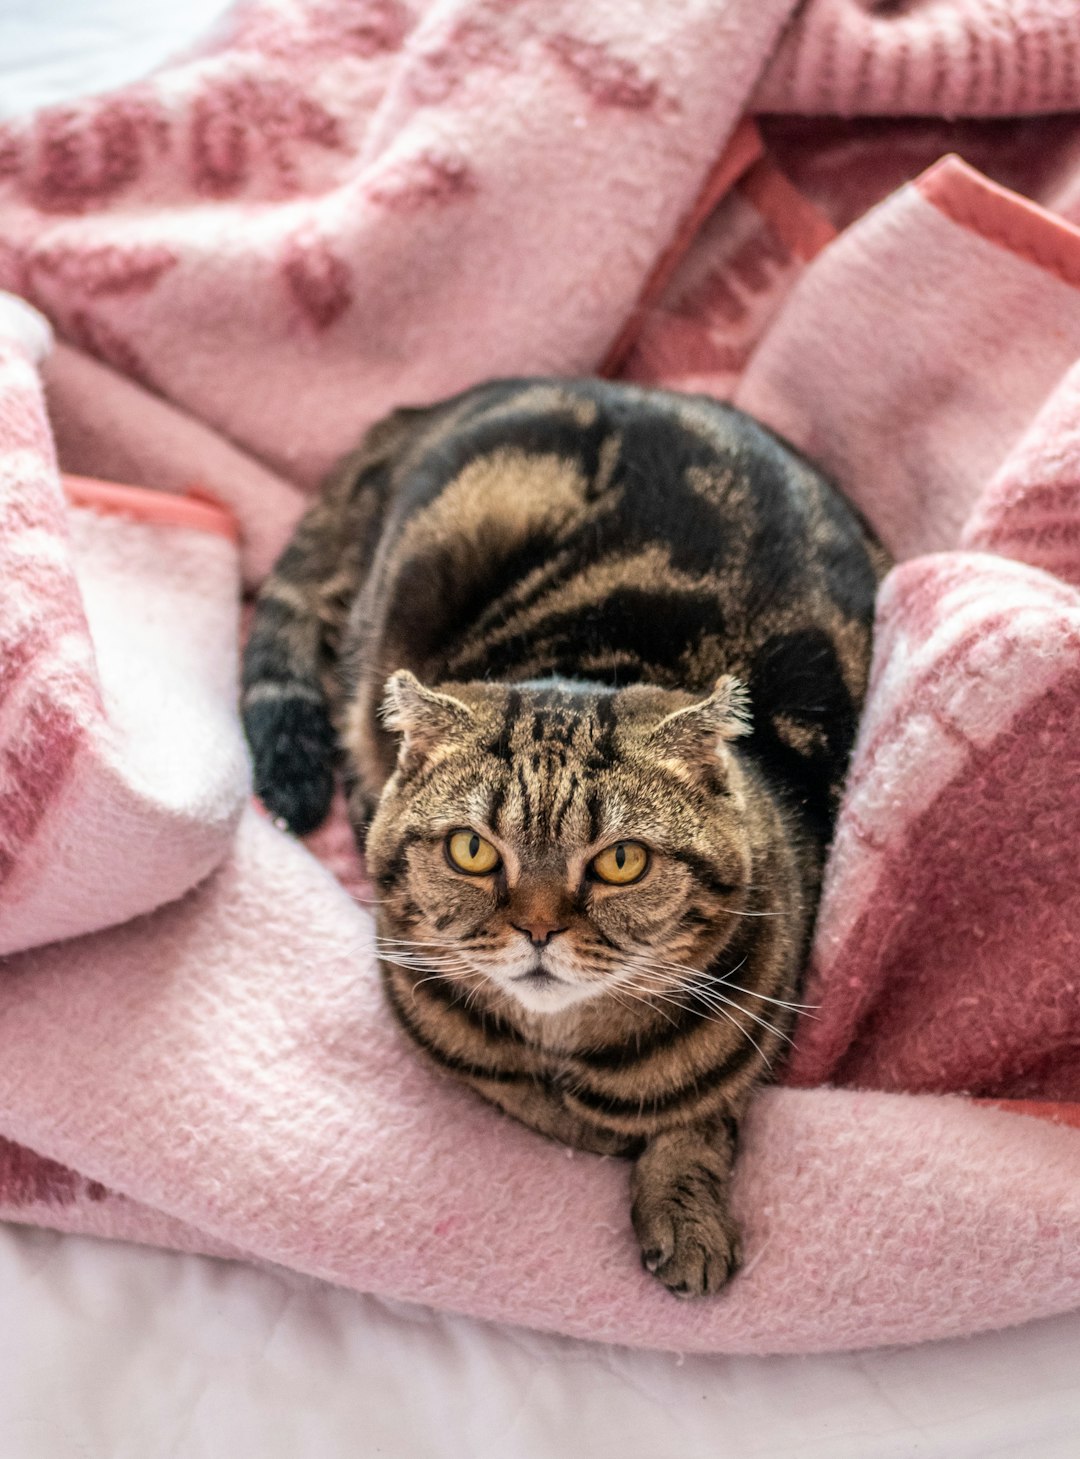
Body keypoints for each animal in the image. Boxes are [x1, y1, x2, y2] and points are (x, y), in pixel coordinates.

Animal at [237, 376, 887, 1301]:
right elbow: (527, 1095)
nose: (539, 928)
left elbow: (702, 1116)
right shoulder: (437, 1025)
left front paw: (686, 1212)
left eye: (621, 860)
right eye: (473, 850)